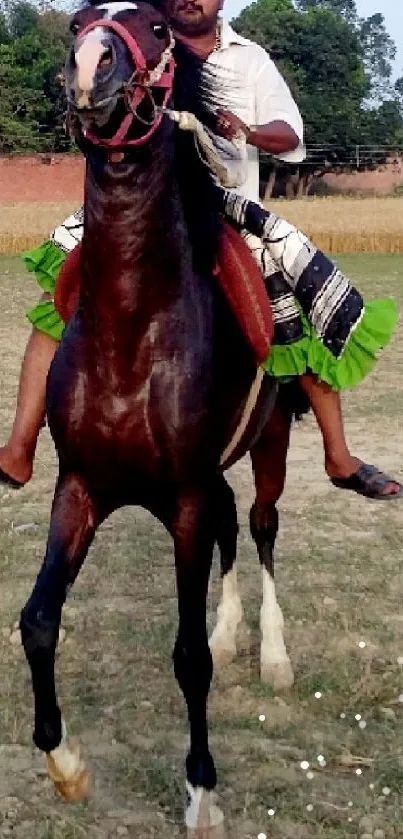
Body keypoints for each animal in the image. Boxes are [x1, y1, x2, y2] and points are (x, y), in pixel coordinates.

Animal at [19, 1, 296, 832]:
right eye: (77, 20)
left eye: (156, 28)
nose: (89, 66)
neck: (134, 329)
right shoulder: (80, 487)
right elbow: (38, 620)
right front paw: (67, 766)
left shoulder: (182, 500)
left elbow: (187, 658)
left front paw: (201, 790)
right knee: (235, 523)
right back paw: (234, 631)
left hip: (270, 442)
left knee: (261, 524)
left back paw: (272, 653)